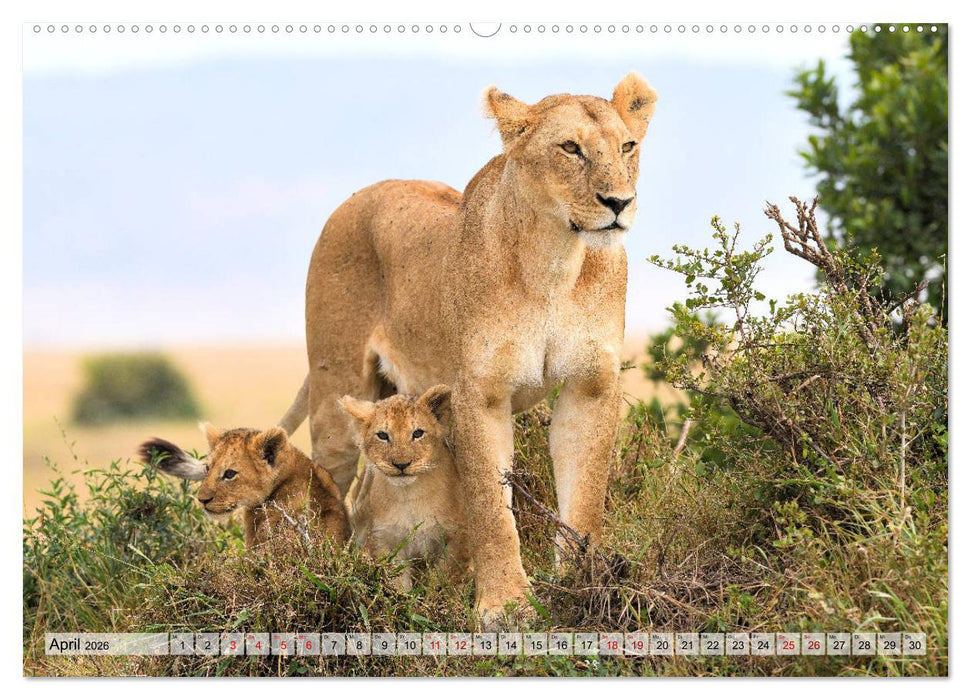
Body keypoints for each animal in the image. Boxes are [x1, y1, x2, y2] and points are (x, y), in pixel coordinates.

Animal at [338, 385, 471, 592]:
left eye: (417, 433)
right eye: (383, 435)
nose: (401, 464)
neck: (409, 496)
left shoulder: (458, 537)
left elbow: (444, 577)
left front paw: (435, 596)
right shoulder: (388, 541)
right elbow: (397, 582)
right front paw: (403, 598)